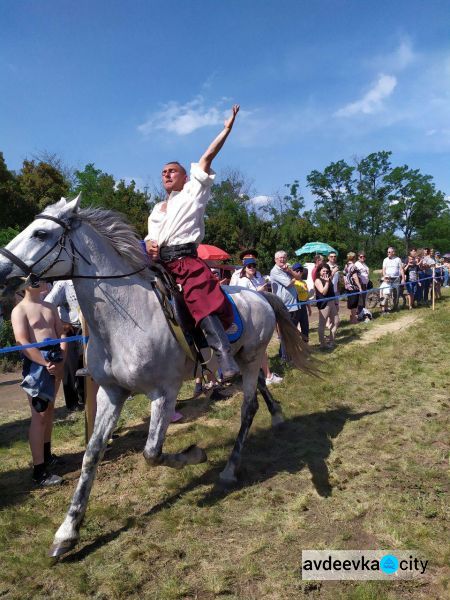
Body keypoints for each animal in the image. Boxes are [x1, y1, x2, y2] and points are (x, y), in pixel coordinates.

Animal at [0, 196, 312, 556]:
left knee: (248, 409)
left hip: (249, 360)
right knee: (259, 386)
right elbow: (91, 454)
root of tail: (260, 294)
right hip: (242, 359)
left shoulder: (164, 393)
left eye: (40, 233)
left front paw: (196, 454)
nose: (2, 270)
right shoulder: (110, 392)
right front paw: (67, 532)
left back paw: (230, 468)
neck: (126, 316)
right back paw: (277, 416)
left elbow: (152, 453)